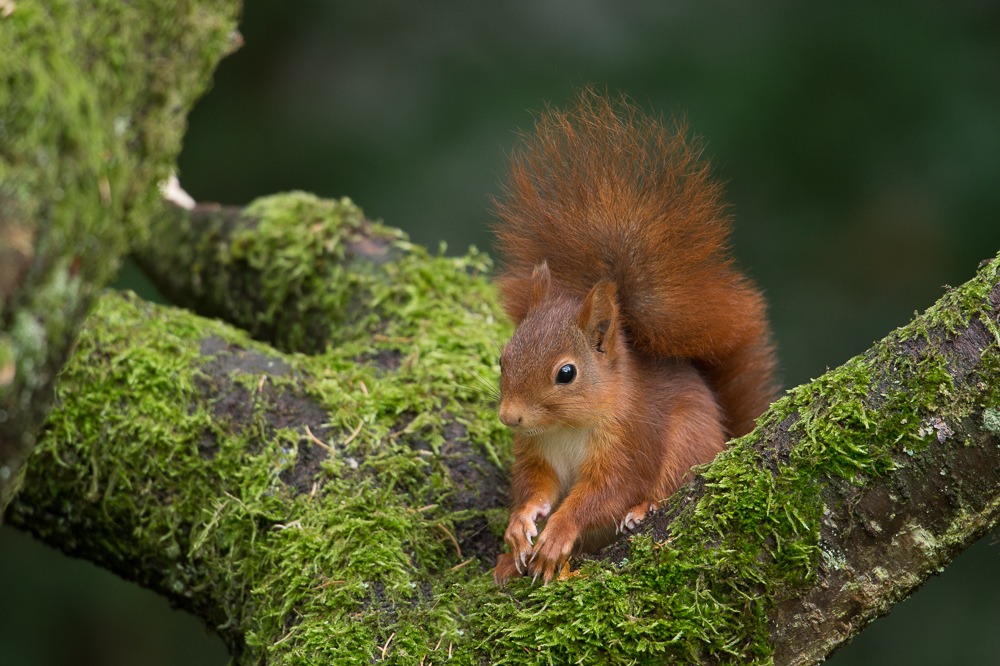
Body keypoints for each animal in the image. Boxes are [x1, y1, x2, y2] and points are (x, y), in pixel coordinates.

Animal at [488, 92, 776, 580]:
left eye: (567, 373)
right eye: (503, 359)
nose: (510, 418)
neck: (567, 427)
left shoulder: (632, 442)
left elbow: (608, 493)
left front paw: (558, 534)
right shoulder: (536, 451)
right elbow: (536, 487)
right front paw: (519, 524)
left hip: (689, 441)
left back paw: (644, 510)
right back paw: (508, 563)